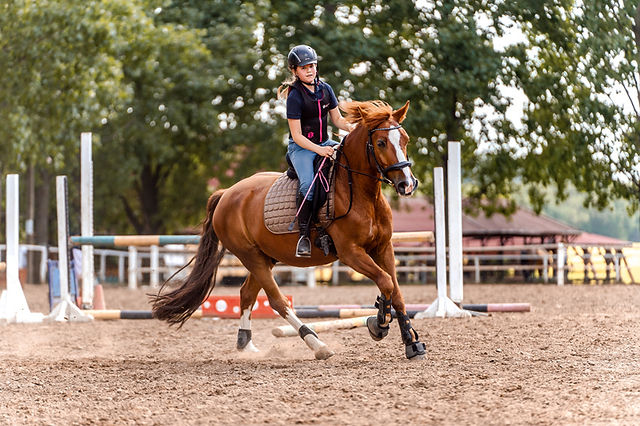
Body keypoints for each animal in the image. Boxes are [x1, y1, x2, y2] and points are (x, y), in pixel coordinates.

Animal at [151, 99, 427, 360]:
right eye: (380, 142)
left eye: (405, 139)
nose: (407, 184)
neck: (360, 193)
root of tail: (226, 193)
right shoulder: (350, 253)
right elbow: (385, 282)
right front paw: (378, 324)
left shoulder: (383, 247)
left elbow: (395, 290)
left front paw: (411, 343)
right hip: (251, 256)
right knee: (277, 301)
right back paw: (317, 344)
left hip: (264, 258)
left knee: (247, 294)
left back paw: (246, 344)